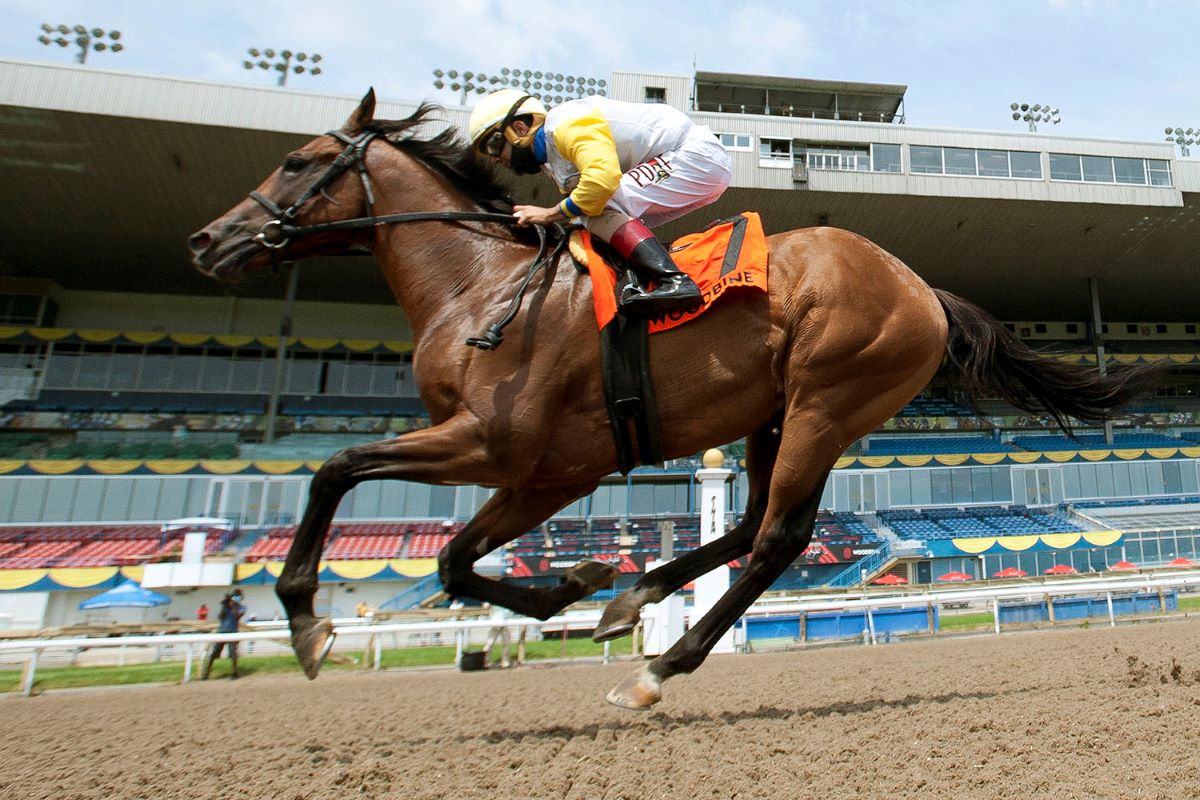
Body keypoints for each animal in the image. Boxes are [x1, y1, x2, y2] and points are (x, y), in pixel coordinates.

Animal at [189, 90, 1161, 710]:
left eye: (297, 161)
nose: (207, 240)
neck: (481, 288)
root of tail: (922, 287)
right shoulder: (543, 471)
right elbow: (454, 559)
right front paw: (579, 585)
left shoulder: (502, 446)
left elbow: (340, 471)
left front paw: (308, 622)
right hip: (778, 414)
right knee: (752, 524)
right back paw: (641, 595)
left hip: (827, 400)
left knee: (778, 540)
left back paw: (658, 666)